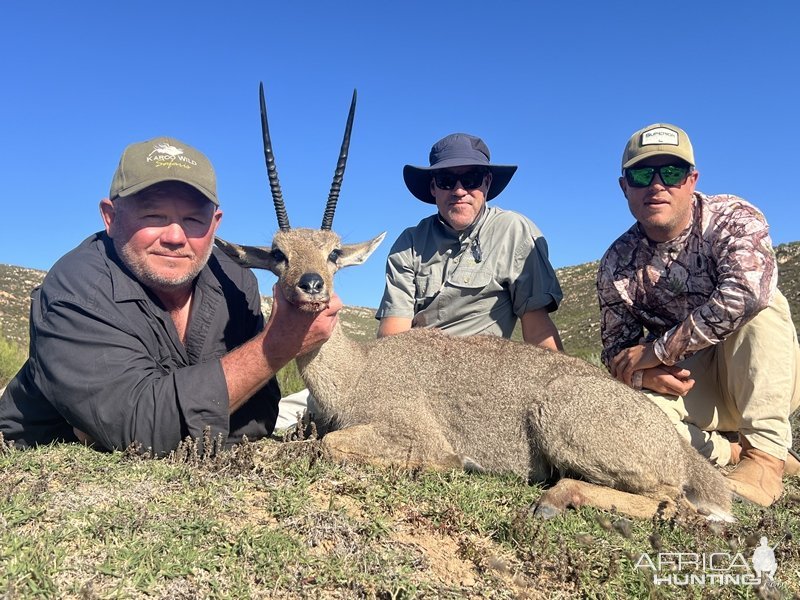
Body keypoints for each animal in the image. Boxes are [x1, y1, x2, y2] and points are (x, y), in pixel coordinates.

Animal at [216, 82, 736, 524]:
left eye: (334, 253)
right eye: (279, 254)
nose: (310, 285)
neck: (357, 370)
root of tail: (673, 444)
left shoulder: (413, 433)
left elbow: (334, 445)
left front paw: (444, 466)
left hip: (564, 423)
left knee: (668, 497)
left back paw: (555, 499)